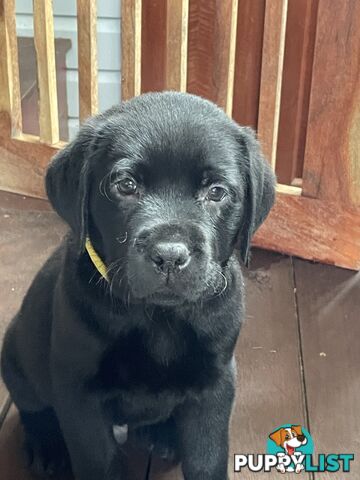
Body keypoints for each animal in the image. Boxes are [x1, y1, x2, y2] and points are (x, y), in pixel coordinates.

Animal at [0, 91, 276, 480]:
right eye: (126, 185)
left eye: (217, 191)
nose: (170, 255)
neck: (159, 317)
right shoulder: (80, 394)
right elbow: (100, 462)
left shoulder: (215, 385)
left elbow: (207, 458)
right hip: (16, 350)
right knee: (32, 405)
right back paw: (47, 445)